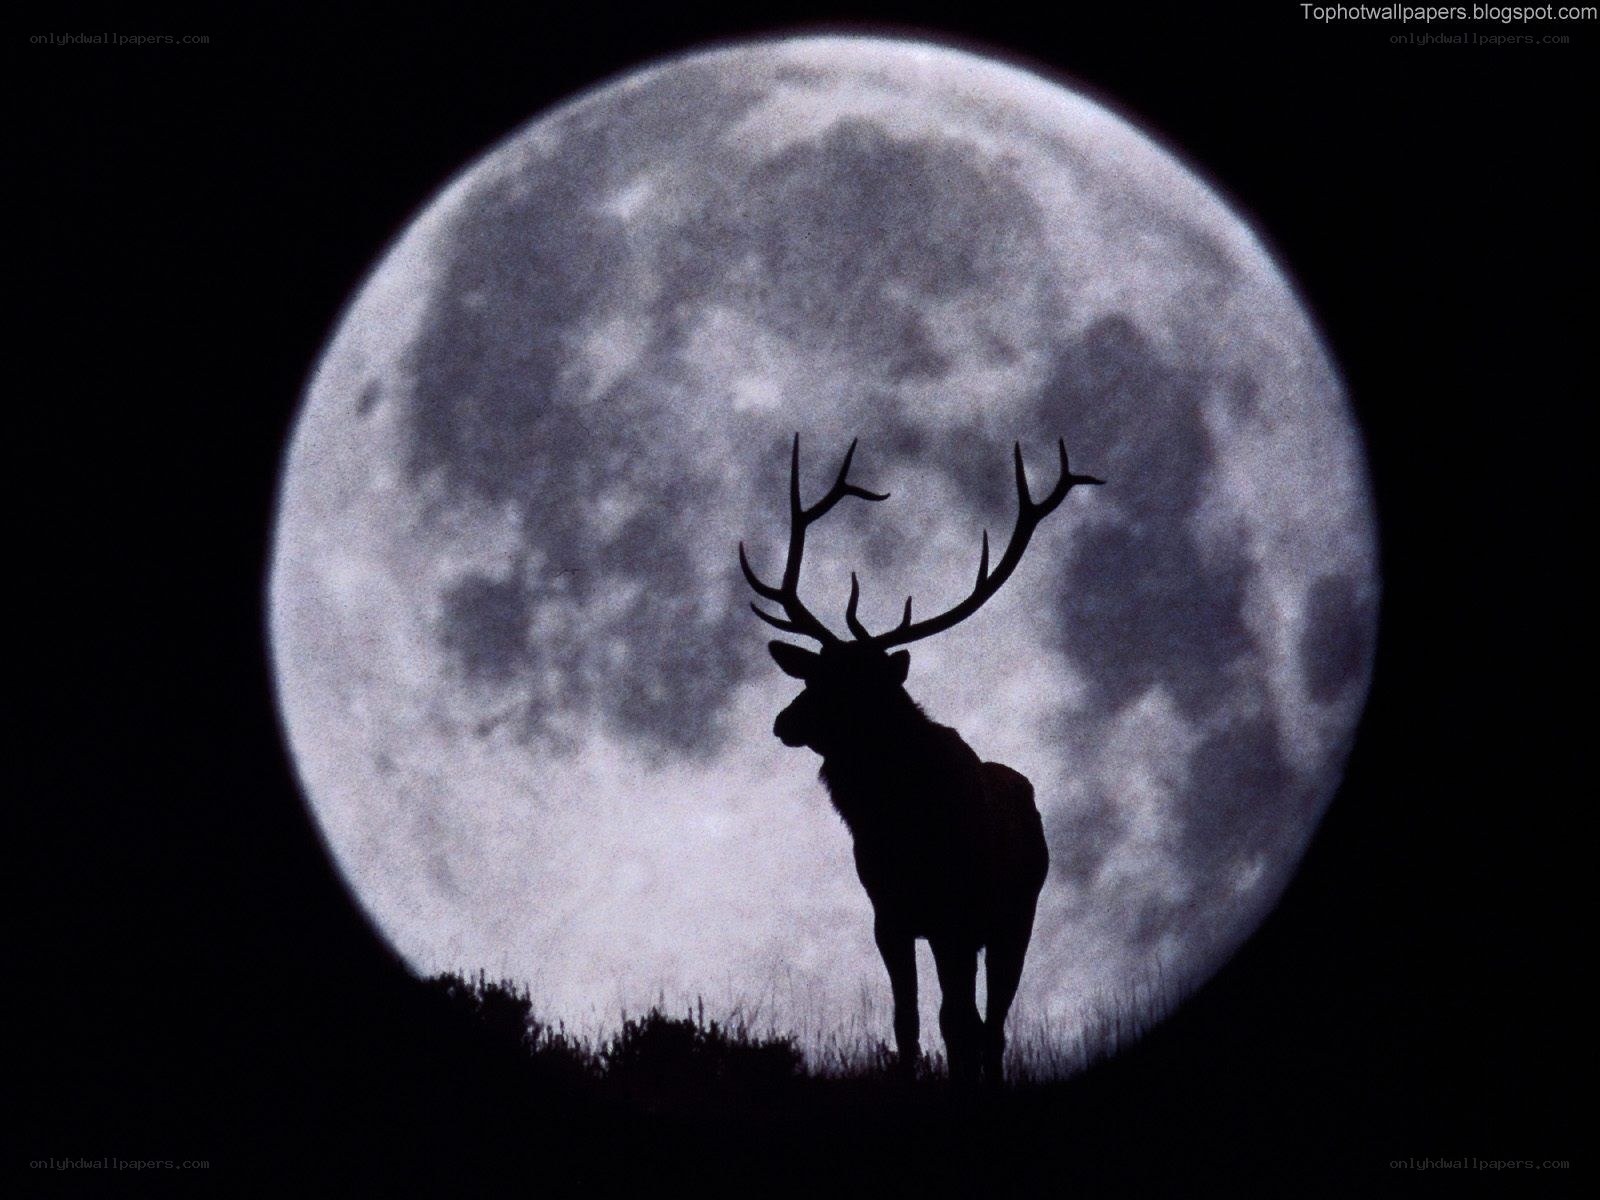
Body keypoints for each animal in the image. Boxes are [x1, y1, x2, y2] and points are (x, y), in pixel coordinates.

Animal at [739, 434, 1102, 1088]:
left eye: (857, 685)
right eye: (813, 674)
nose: (784, 722)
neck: (902, 825)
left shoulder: (956, 914)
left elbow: (956, 1022)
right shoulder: (891, 914)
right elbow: (906, 1021)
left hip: (1014, 919)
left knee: (990, 1023)